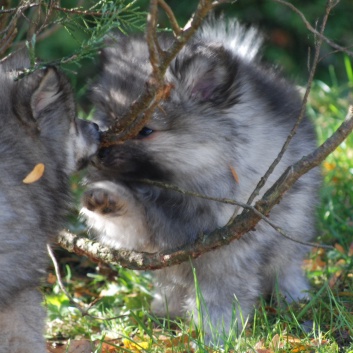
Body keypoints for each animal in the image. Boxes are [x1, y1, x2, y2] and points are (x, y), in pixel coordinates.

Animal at [82, 21, 320, 340]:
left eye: (146, 131)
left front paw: (218, 336)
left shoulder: (226, 251)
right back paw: (164, 310)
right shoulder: (151, 228)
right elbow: (129, 214)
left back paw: (294, 300)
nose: (98, 155)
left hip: (287, 241)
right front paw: (106, 196)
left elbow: (220, 298)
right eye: (109, 119)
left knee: (287, 269)